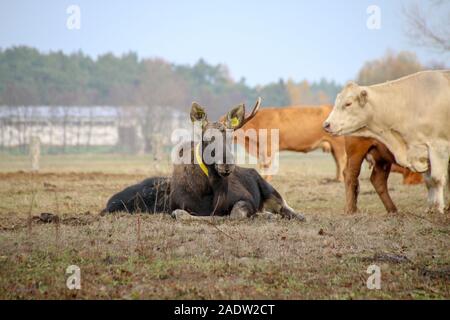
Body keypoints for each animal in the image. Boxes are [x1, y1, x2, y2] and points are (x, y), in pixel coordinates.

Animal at [324, 71, 450, 214]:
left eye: (348, 103)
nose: (326, 125)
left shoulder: (433, 150)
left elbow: (433, 180)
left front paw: (434, 208)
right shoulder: (436, 148)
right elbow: (435, 179)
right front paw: (438, 209)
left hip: (381, 160)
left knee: (377, 180)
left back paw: (391, 209)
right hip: (356, 154)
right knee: (351, 176)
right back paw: (351, 210)